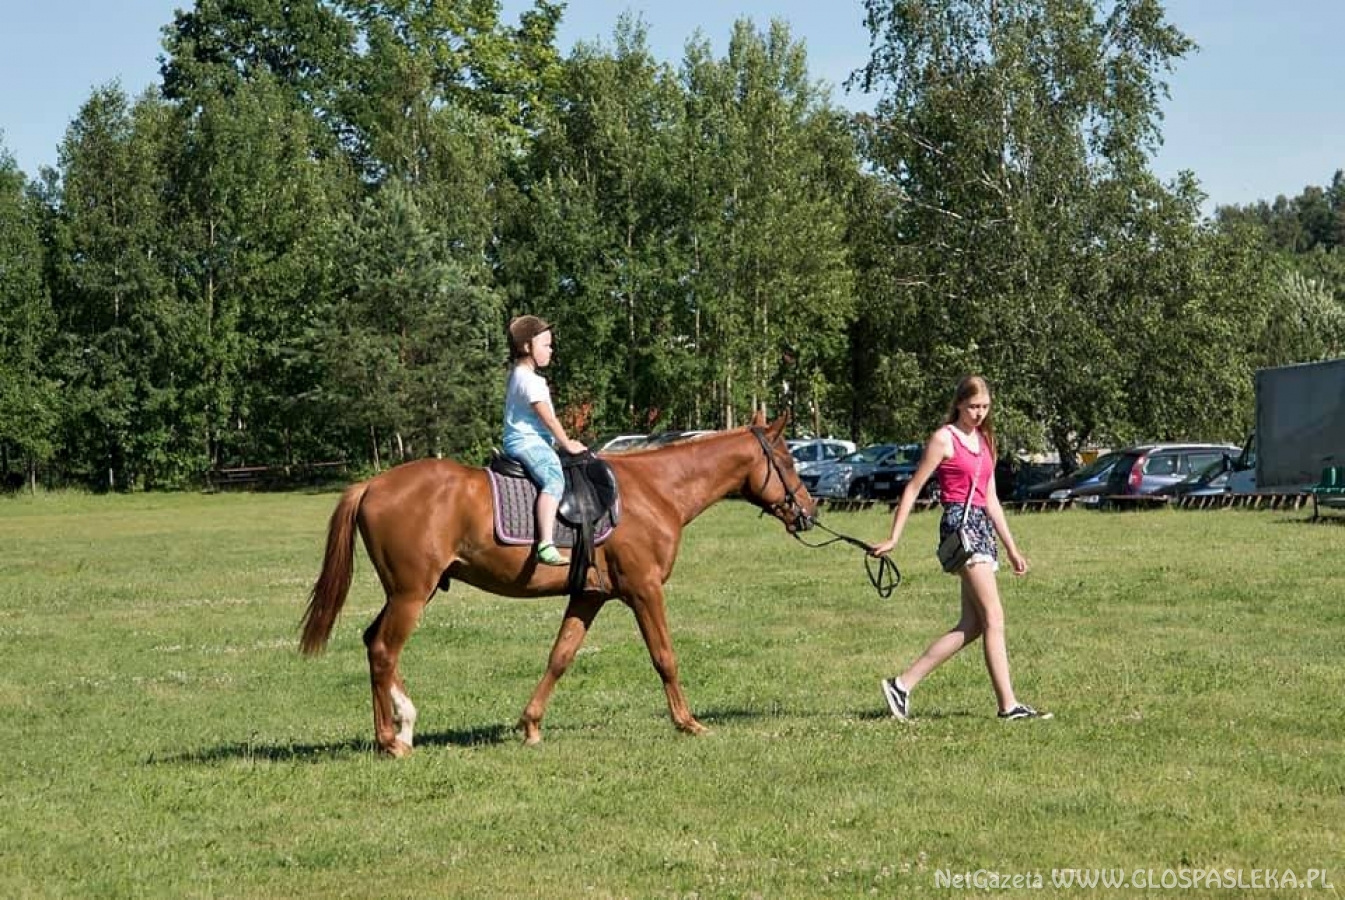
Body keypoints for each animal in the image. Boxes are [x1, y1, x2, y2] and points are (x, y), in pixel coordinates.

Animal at [300, 410, 817, 757]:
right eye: (789, 461)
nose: (810, 511)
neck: (655, 490)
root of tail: (371, 484)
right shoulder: (644, 590)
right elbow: (664, 657)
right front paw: (688, 722)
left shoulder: (589, 596)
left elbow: (560, 657)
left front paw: (530, 725)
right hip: (410, 594)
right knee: (384, 649)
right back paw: (391, 739)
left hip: (410, 593)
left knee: (373, 642)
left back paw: (402, 724)